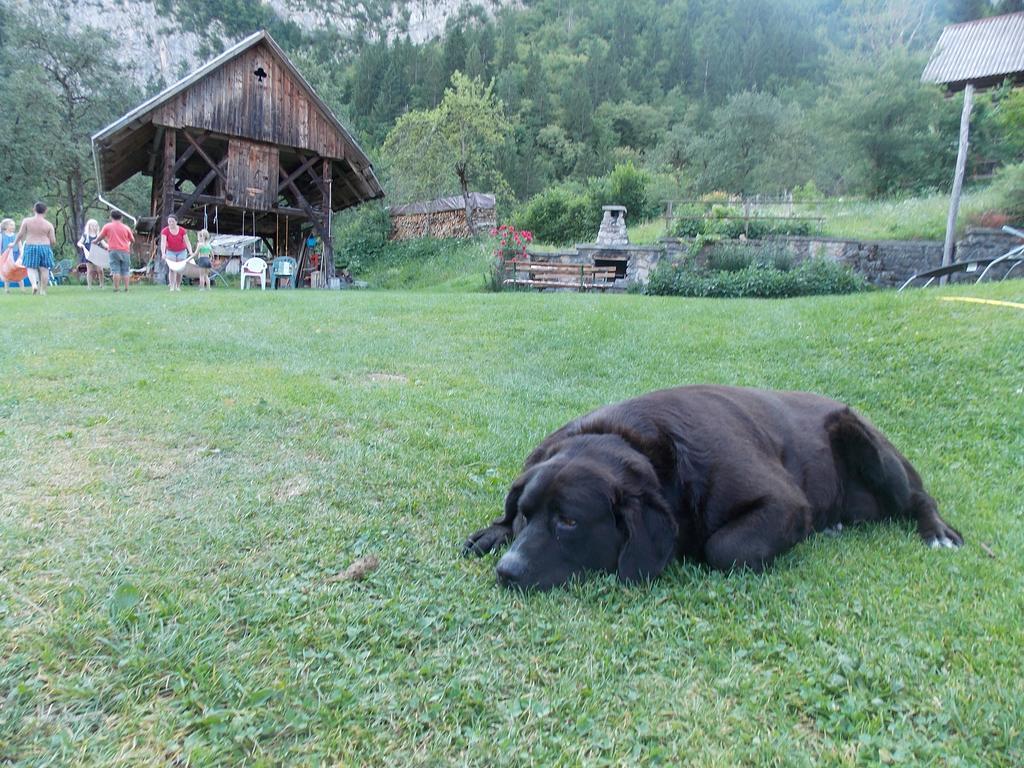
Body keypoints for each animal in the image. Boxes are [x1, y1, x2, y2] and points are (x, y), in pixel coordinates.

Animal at [464, 387, 958, 593]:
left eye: (569, 521)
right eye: (527, 514)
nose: (506, 572)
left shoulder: (783, 501)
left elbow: (726, 547)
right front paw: (492, 532)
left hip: (865, 441)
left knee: (919, 497)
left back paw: (937, 532)